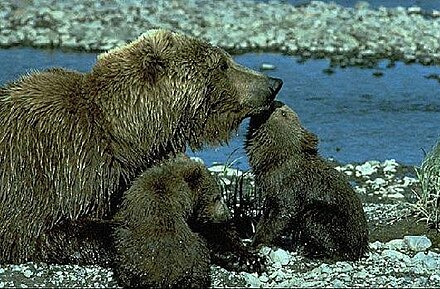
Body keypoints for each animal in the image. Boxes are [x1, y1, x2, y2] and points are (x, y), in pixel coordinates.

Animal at [0, 29, 282, 266]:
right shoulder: (52, 167)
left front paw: (240, 251)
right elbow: (47, 230)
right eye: (222, 63)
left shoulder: (124, 177)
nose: (274, 83)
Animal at [246, 100, 370, 260]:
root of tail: (362, 246)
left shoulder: (291, 187)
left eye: (284, 113)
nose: (275, 102)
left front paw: (258, 242)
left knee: (314, 221)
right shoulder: (271, 191)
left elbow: (283, 213)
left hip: (333, 220)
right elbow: (266, 214)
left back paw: (314, 251)